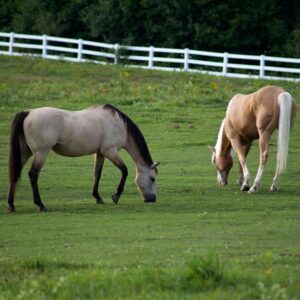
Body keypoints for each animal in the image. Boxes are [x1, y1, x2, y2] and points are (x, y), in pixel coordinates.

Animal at [7, 104, 159, 212]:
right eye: (152, 178)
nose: (152, 199)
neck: (117, 123)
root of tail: (28, 112)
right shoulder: (110, 150)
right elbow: (124, 170)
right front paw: (116, 195)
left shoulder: (100, 153)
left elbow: (97, 174)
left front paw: (98, 198)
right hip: (41, 153)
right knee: (33, 174)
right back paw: (40, 204)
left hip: (25, 152)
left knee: (15, 173)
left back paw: (11, 206)